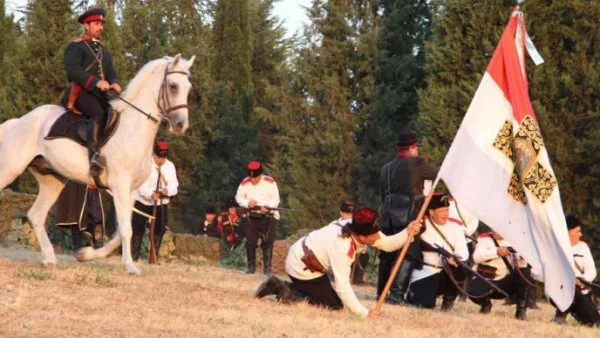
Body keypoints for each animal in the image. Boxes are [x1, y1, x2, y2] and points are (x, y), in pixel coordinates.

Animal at [0, 53, 196, 274]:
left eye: (188, 87)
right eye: (173, 86)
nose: (181, 125)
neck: (133, 129)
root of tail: (18, 122)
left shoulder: (130, 191)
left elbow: (120, 232)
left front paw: (86, 255)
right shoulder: (120, 186)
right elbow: (126, 230)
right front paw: (130, 266)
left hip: (52, 180)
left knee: (36, 215)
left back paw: (49, 259)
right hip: (10, 169)